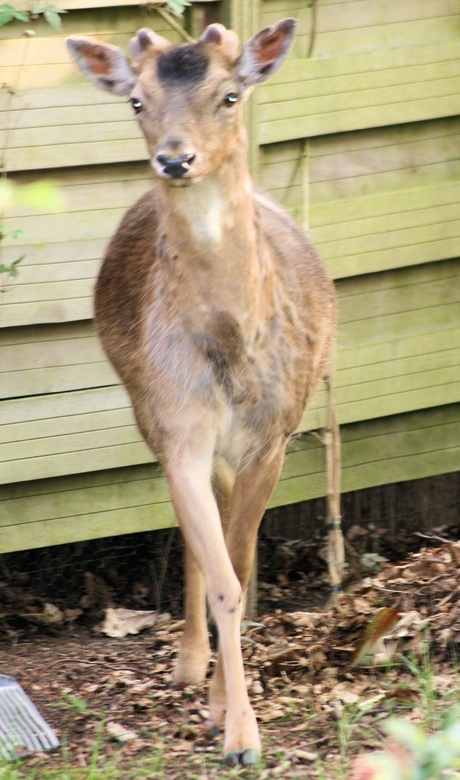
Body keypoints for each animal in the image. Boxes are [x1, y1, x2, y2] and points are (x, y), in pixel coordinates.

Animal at [66, 19, 336, 768]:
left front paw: (228, 715)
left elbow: (241, 565)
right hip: (147, 406)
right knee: (191, 523)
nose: (175, 158)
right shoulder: (177, 421)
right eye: (137, 100)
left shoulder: (275, 434)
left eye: (229, 94)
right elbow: (221, 576)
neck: (231, 352)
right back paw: (189, 664)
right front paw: (239, 735)